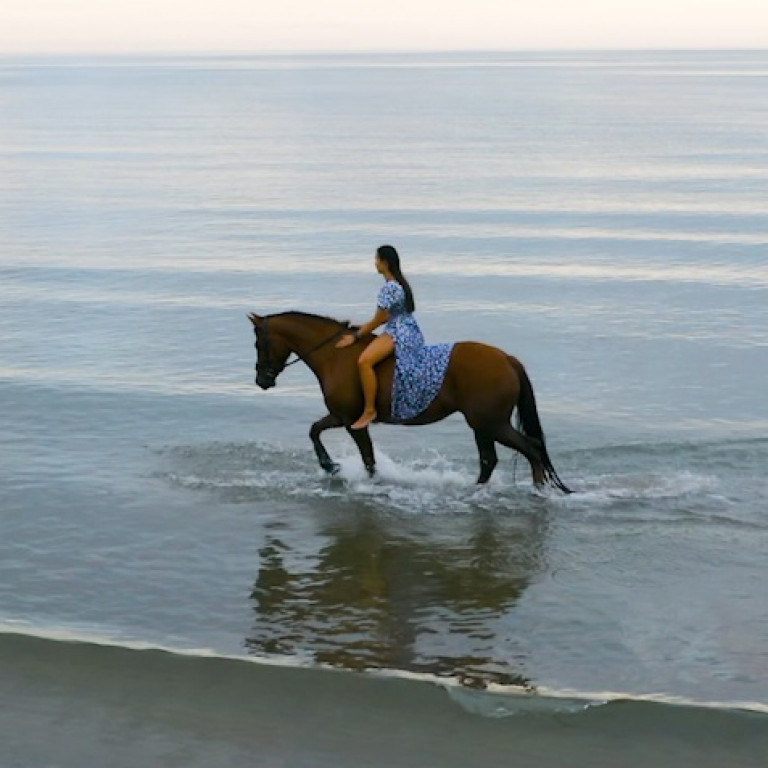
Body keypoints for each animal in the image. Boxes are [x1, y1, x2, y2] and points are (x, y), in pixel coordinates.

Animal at [248, 310, 568, 496]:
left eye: (258, 343)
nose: (262, 380)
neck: (336, 355)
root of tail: (507, 359)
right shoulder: (339, 416)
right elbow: (315, 430)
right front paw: (332, 466)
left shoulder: (351, 420)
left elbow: (366, 457)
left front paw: (341, 470)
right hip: (483, 426)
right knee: (491, 460)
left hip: (492, 424)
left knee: (531, 449)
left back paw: (538, 491)